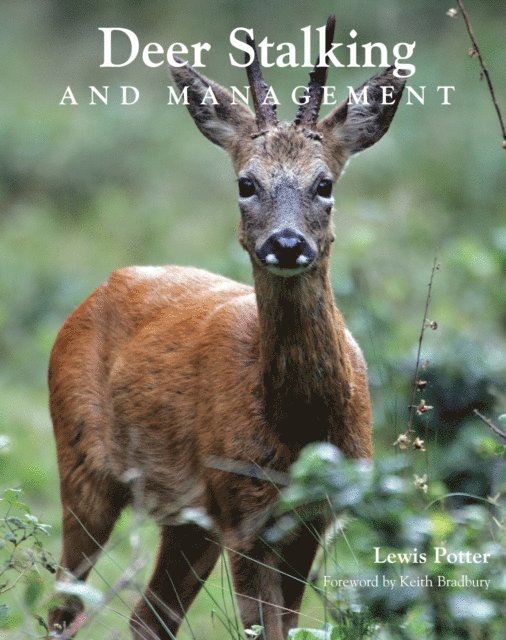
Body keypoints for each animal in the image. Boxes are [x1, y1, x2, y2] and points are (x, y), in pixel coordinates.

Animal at [48, 15, 405, 640]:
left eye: (325, 184)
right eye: (246, 183)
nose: (285, 244)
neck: (299, 431)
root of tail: (93, 294)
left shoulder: (310, 517)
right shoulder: (243, 506)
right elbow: (265, 628)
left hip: (190, 518)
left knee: (149, 616)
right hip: (83, 464)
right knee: (64, 606)